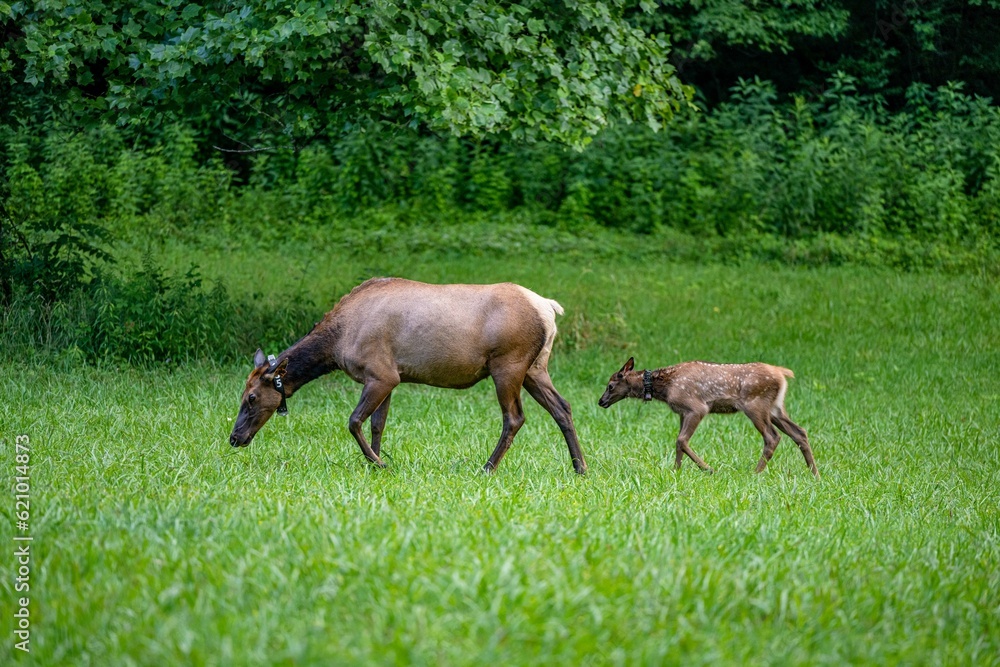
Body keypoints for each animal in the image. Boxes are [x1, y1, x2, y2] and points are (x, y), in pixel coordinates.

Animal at [229, 276, 584, 474]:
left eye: (251, 397)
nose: (235, 437)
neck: (336, 343)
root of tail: (549, 308)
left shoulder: (382, 374)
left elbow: (354, 421)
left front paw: (379, 462)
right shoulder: (389, 379)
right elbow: (377, 424)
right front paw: (375, 460)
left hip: (508, 365)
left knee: (514, 417)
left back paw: (487, 467)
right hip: (535, 367)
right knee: (563, 407)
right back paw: (580, 466)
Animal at [596, 358, 816, 478]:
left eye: (610, 385)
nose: (601, 401)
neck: (665, 388)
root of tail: (782, 373)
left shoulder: (696, 407)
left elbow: (681, 440)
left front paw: (708, 469)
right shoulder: (682, 412)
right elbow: (678, 442)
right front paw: (676, 471)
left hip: (755, 405)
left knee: (772, 437)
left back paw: (755, 473)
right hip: (775, 408)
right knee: (799, 432)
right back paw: (815, 474)